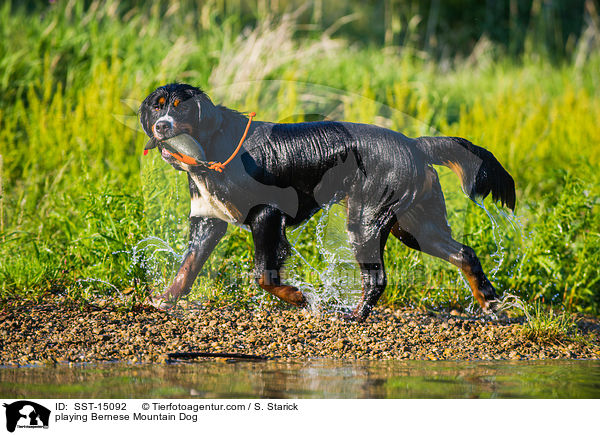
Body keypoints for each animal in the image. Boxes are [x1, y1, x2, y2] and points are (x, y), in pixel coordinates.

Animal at [139, 83, 516, 322]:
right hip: (414, 225)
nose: (161, 127)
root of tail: (415, 143)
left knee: (377, 279)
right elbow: (187, 268)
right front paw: (164, 300)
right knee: (464, 253)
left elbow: (265, 275)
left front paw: (300, 297)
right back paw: (489, 301)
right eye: (157, 107)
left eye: (181, 108)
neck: (214, 146)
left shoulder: (267, 215)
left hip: (366, 220)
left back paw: (354, 316)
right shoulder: (209, 220)